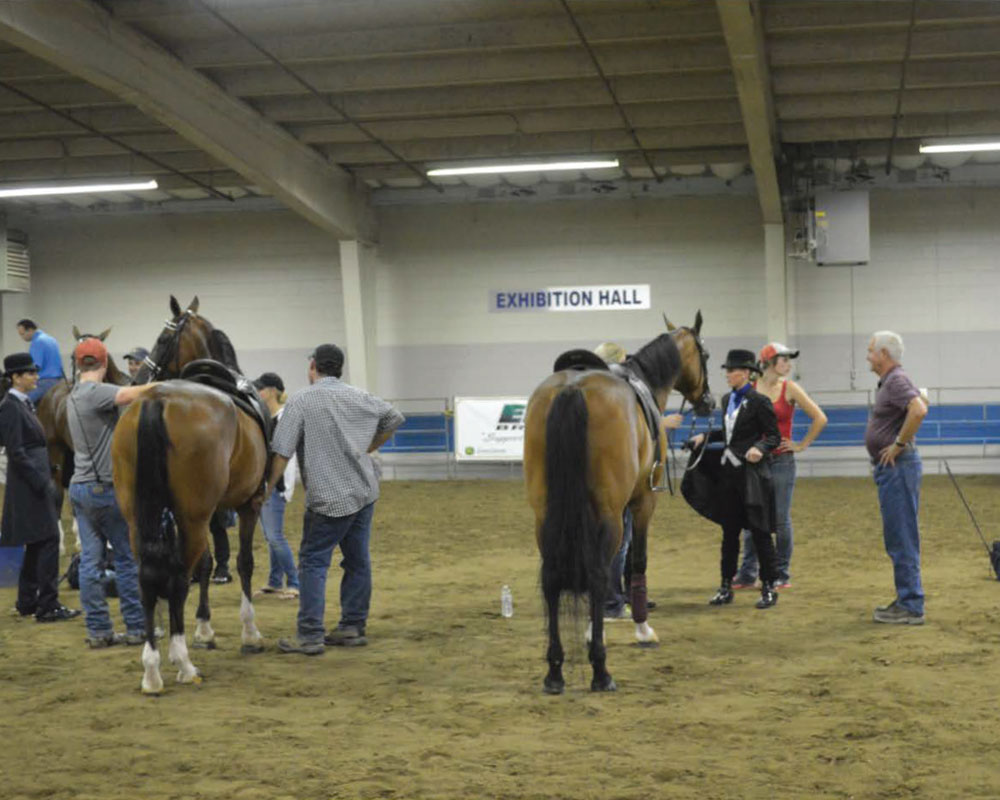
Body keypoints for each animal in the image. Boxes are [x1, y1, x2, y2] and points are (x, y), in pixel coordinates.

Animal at [110, 296, 270, 692]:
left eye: (163, 337)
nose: (137, 379)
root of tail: (159, 398)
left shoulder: (212, 512)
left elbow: (208, 564)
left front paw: (204, 629)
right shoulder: (250, 503)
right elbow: (243, 562)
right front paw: (249, 633)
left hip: (140, 519)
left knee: (149, 580)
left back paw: (152, 669)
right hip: (193, 517)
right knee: (179, 579)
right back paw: (182, 664)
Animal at [520, 312, 716, 692]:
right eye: (706, 354)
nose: (710, 402)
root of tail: (572, 389)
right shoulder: (641, 503)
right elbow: (634, 564)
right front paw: (642, 629)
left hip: (544, 515)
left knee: (552, 578)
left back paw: (555, 671)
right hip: (608, 513)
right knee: (597, 574)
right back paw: (601, 670)